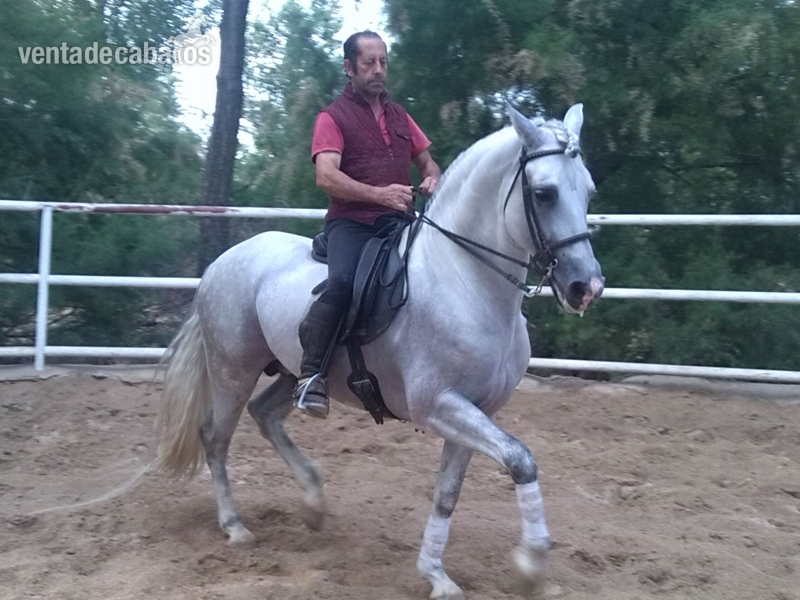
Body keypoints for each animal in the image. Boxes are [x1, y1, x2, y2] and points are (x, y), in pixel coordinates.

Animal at [154, 103, 604, 599]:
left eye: (588, 191)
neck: (466, 281)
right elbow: (522, 460)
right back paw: (235, 526)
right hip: (233, 369)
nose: (586, 287)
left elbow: (451, 491)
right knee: (216, 437)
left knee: (265, 414)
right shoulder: (438, 406)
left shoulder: (477, 410)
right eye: (544, 194)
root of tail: (222, 262)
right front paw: (530, 564)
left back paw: (314, 502)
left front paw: (436, 573)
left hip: (292, 372)